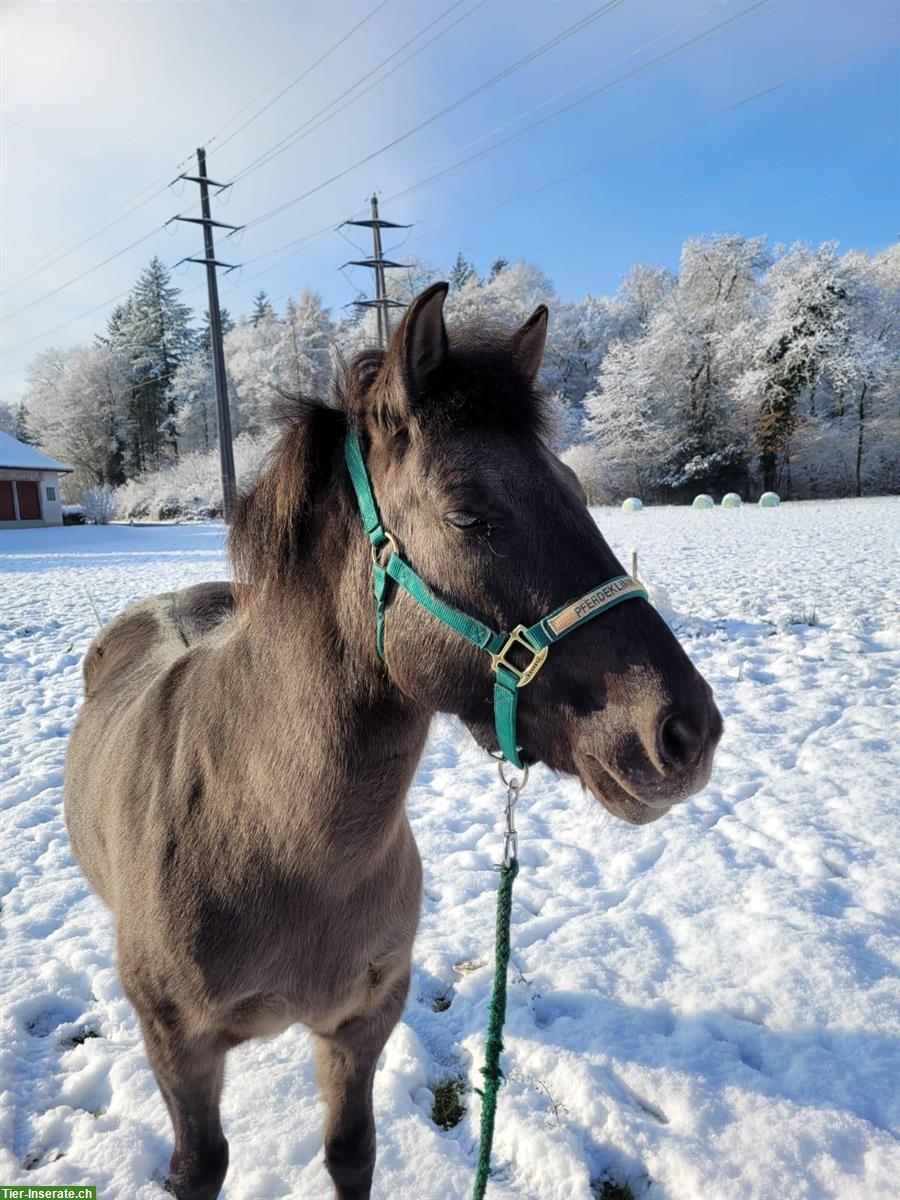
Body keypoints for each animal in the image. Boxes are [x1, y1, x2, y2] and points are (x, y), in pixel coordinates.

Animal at [65, 283, 724, 1200]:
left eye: (573, 485)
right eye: (467, 512)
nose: (686, 730)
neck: (260, 837)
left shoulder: (360, 1023)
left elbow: (352, 1151)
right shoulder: (181, 1052)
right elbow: (202, 1166)